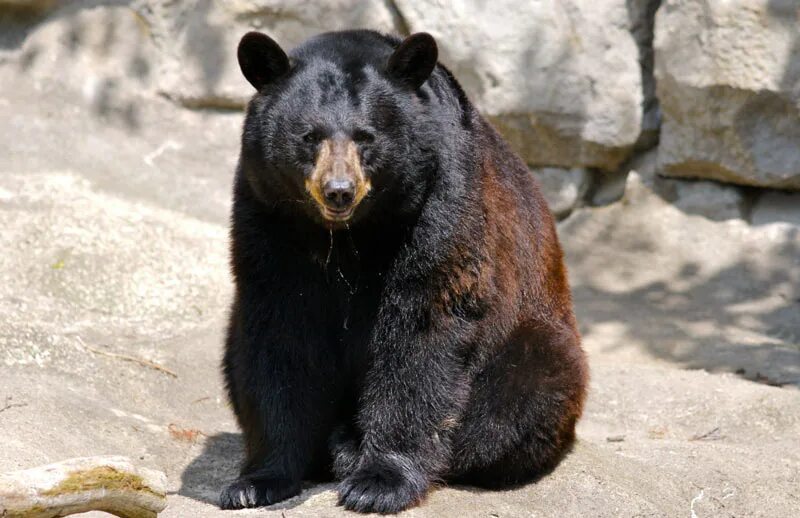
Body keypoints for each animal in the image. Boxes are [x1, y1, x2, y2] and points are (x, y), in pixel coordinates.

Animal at [219, 29, 588, 516]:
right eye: (309, 136)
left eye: (366, 136)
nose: (339, 191)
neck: (349, 234)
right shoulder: (267, 213)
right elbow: (279, 334)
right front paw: (257, 481)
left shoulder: (442, 204)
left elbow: (421, 330)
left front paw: (379, 482)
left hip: (534, 338)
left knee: (517, 397)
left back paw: (351, 446)